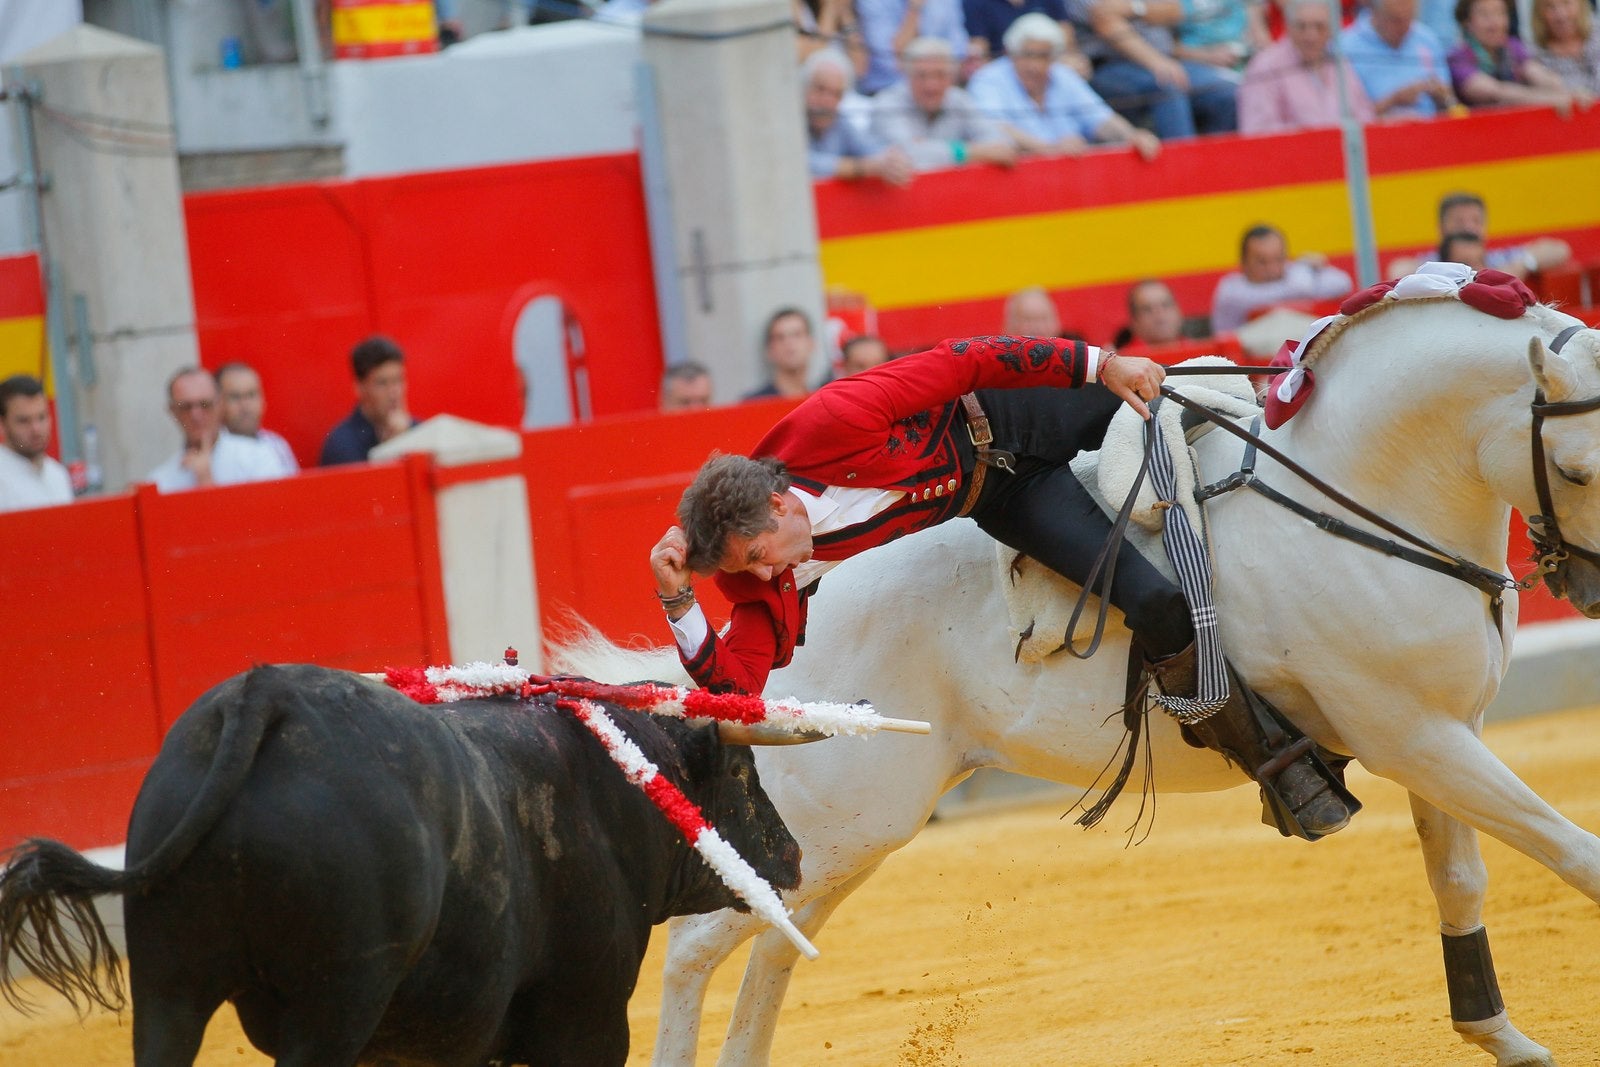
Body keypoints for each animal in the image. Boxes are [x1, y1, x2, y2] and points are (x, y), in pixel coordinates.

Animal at [0, 662, 800, 1062]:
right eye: (741, 772)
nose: (791, 856)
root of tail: (265, 695)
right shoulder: (587, 1019)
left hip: (168, 986)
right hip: (333, 1007)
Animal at [553, 299, 1600, 1067]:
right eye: (1581, 467)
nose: (1589, 581)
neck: (1354, 489)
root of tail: (761, 671)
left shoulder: (1439, 731)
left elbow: (1461, 879)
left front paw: (1505, 1039)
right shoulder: (1411, 732)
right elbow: (1571, 852)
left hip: (857, 827)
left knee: (773, 941)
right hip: (828, 818)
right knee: (698, 943)